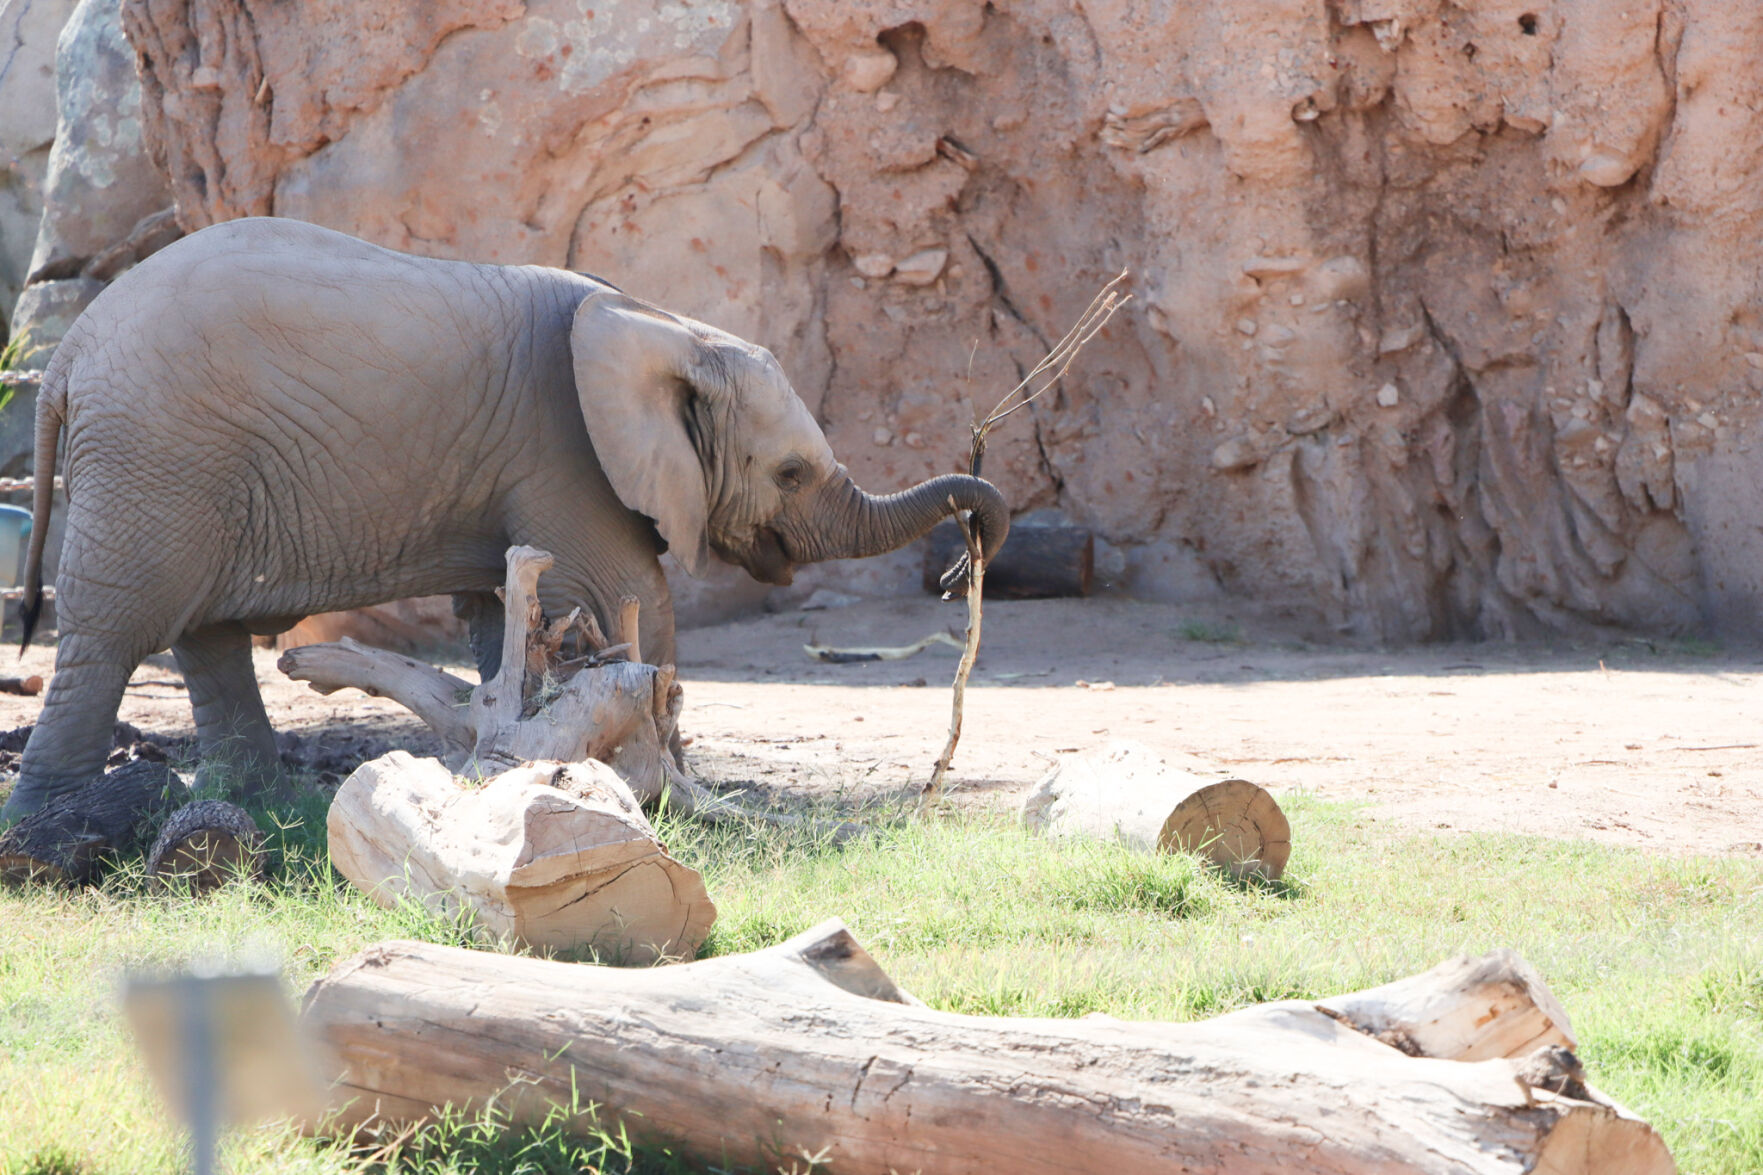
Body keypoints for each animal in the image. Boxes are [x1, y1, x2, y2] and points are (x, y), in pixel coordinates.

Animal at [0, 222, 1008, 822]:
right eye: (790, 472)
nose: (971, 551)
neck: (662, 325)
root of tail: (67, 357)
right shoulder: (569, 453)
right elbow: (629, 592)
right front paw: (664, 790)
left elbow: (506, 612)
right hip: (157, 456)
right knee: (114, 629)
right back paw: (53, 827)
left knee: (201, 632)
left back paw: (260, 799)